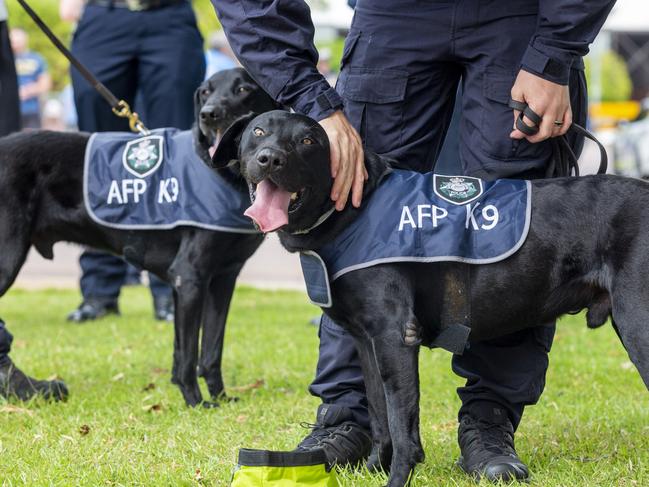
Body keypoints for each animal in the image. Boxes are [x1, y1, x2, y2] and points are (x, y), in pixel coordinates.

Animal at [0, 66, 276, 406]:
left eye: (242, 89)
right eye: (205, 92)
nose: (209, 114)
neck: (223, 173)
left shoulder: (222, 279)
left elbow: (210, 351)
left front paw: (221, 398)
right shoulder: (189, 277)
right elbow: (188, 354)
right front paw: (196, 403)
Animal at [215, 108, 648, 486]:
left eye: (308, 140)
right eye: (257, 132)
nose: (270, 159)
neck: (355, 208)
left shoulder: (395, 336)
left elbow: (403, 427)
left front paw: (396, 480)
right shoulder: (367, 342)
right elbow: (380, 417)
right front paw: (374, 468)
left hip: (638, 326)